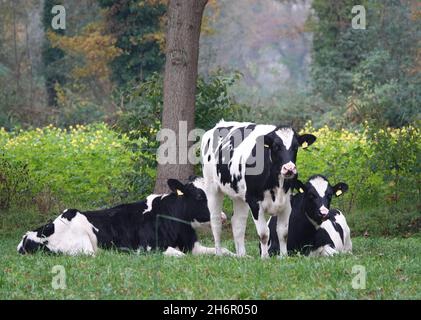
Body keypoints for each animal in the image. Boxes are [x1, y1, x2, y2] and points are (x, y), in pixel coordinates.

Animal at [17, 178, 230, 258]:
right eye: (199, 196)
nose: (222, 216)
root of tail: (29, 235)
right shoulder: (148, 248)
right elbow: (180, 255)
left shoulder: (193, 245)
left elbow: (225, 251)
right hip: (84, 246)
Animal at [200, 120, 316, 258]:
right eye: (276, 146)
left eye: (295, 147)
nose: (289, 168)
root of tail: (218, 125)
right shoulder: (254, 201)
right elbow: (264, 233)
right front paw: (265, 258)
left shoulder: (287, 202)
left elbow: (283, 233)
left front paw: (284, 257)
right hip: (212, 187)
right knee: (216, 221)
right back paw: (219, 253)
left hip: (240, 196)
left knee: (238, 222)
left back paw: (242, 256)